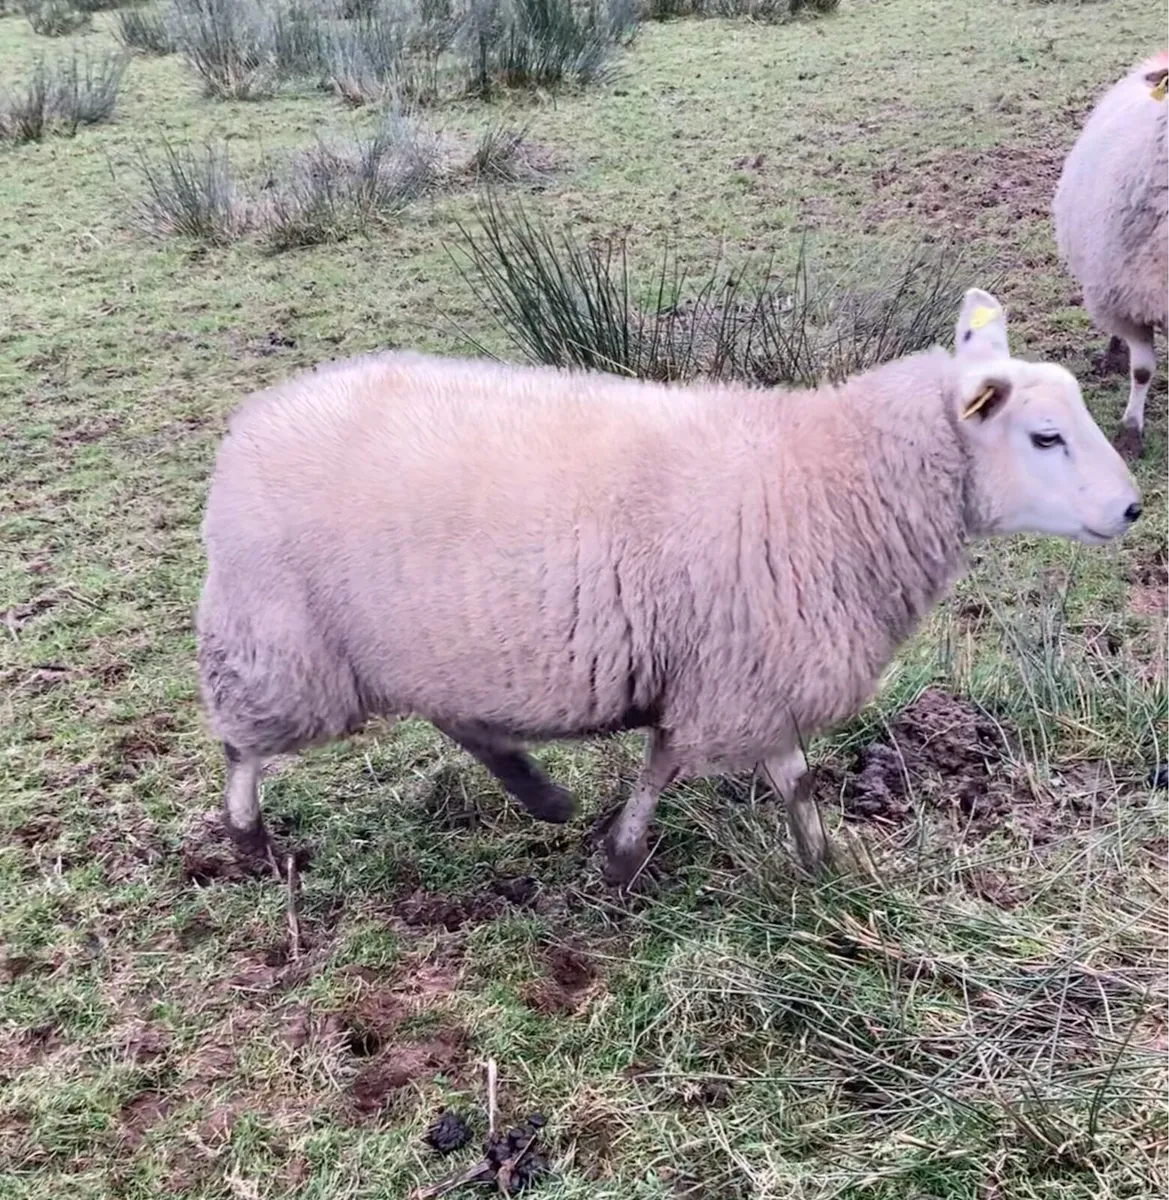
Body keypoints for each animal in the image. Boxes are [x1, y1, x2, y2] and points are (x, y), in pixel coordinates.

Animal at [195, 288, 1141, 886]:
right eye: (1046, 436)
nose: (1132, 508)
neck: (825, 479)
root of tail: (253, 419)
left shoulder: (746, 668)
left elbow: (769, 776)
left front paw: (815, 865)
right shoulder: (738, 670)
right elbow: (692, 767)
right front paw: (627, 860)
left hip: (412, 639)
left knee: (455, 717)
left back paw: (538, 793)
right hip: (280, 639)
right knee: (242, 746)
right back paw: (249, 842)